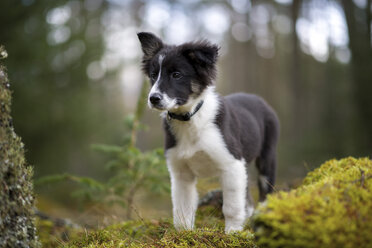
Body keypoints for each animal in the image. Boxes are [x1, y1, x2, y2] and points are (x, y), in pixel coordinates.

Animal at [137, 32, 280, 232]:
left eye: (176, 74)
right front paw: (183, 234)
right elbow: (182, 209)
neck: (190, 118)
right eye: (152, 75)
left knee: (265, 190)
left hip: (267, 156)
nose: (153, 98)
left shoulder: (231, 164)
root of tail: (258, 99)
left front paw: (233, 233)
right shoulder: (181, 173)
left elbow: (231, 207)